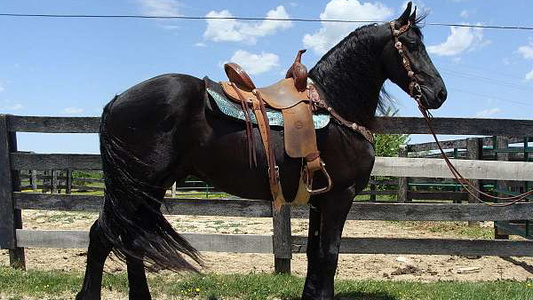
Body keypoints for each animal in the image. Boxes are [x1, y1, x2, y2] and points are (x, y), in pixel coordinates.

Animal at [77, 2, 446, 300]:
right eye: (413, 44)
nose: (439, 93)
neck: (334, 105)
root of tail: (117, 101)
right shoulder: (340, 196)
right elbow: (330, 254)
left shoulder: (321, 198)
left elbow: (314, 253)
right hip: (137, 187)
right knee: (103, 236)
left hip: (148, 189)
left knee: (131, 240)